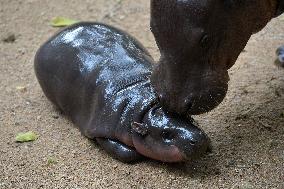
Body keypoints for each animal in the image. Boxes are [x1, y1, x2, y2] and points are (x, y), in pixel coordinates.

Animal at [33, 22, 211, 162]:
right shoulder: (101, 129)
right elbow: (125, 152)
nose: (197, 139)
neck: (143, 106)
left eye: (187, 117)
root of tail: (53, 37)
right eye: (166, 134)